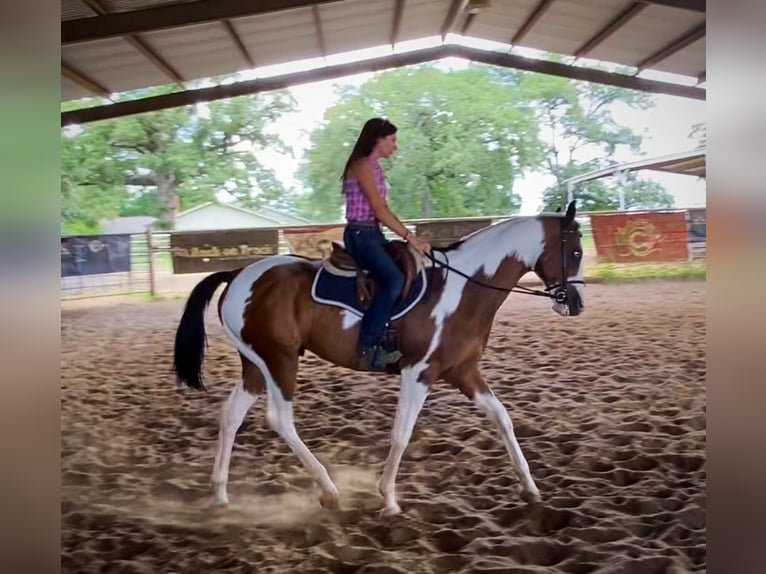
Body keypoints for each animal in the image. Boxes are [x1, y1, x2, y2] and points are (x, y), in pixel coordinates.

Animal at [173, 200, 585, 515]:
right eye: (575, 251)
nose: (576, 303)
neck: (463, 288)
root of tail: (238, 273)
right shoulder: (418, 372)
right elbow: (402, 433)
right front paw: (388, 499)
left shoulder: (463, 370)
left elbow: (502, 418)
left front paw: (530, 488)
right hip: (279, 360)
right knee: (280, 419)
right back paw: (328, 491)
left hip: (256, 365)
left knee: (232, 415)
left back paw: (221, 494)